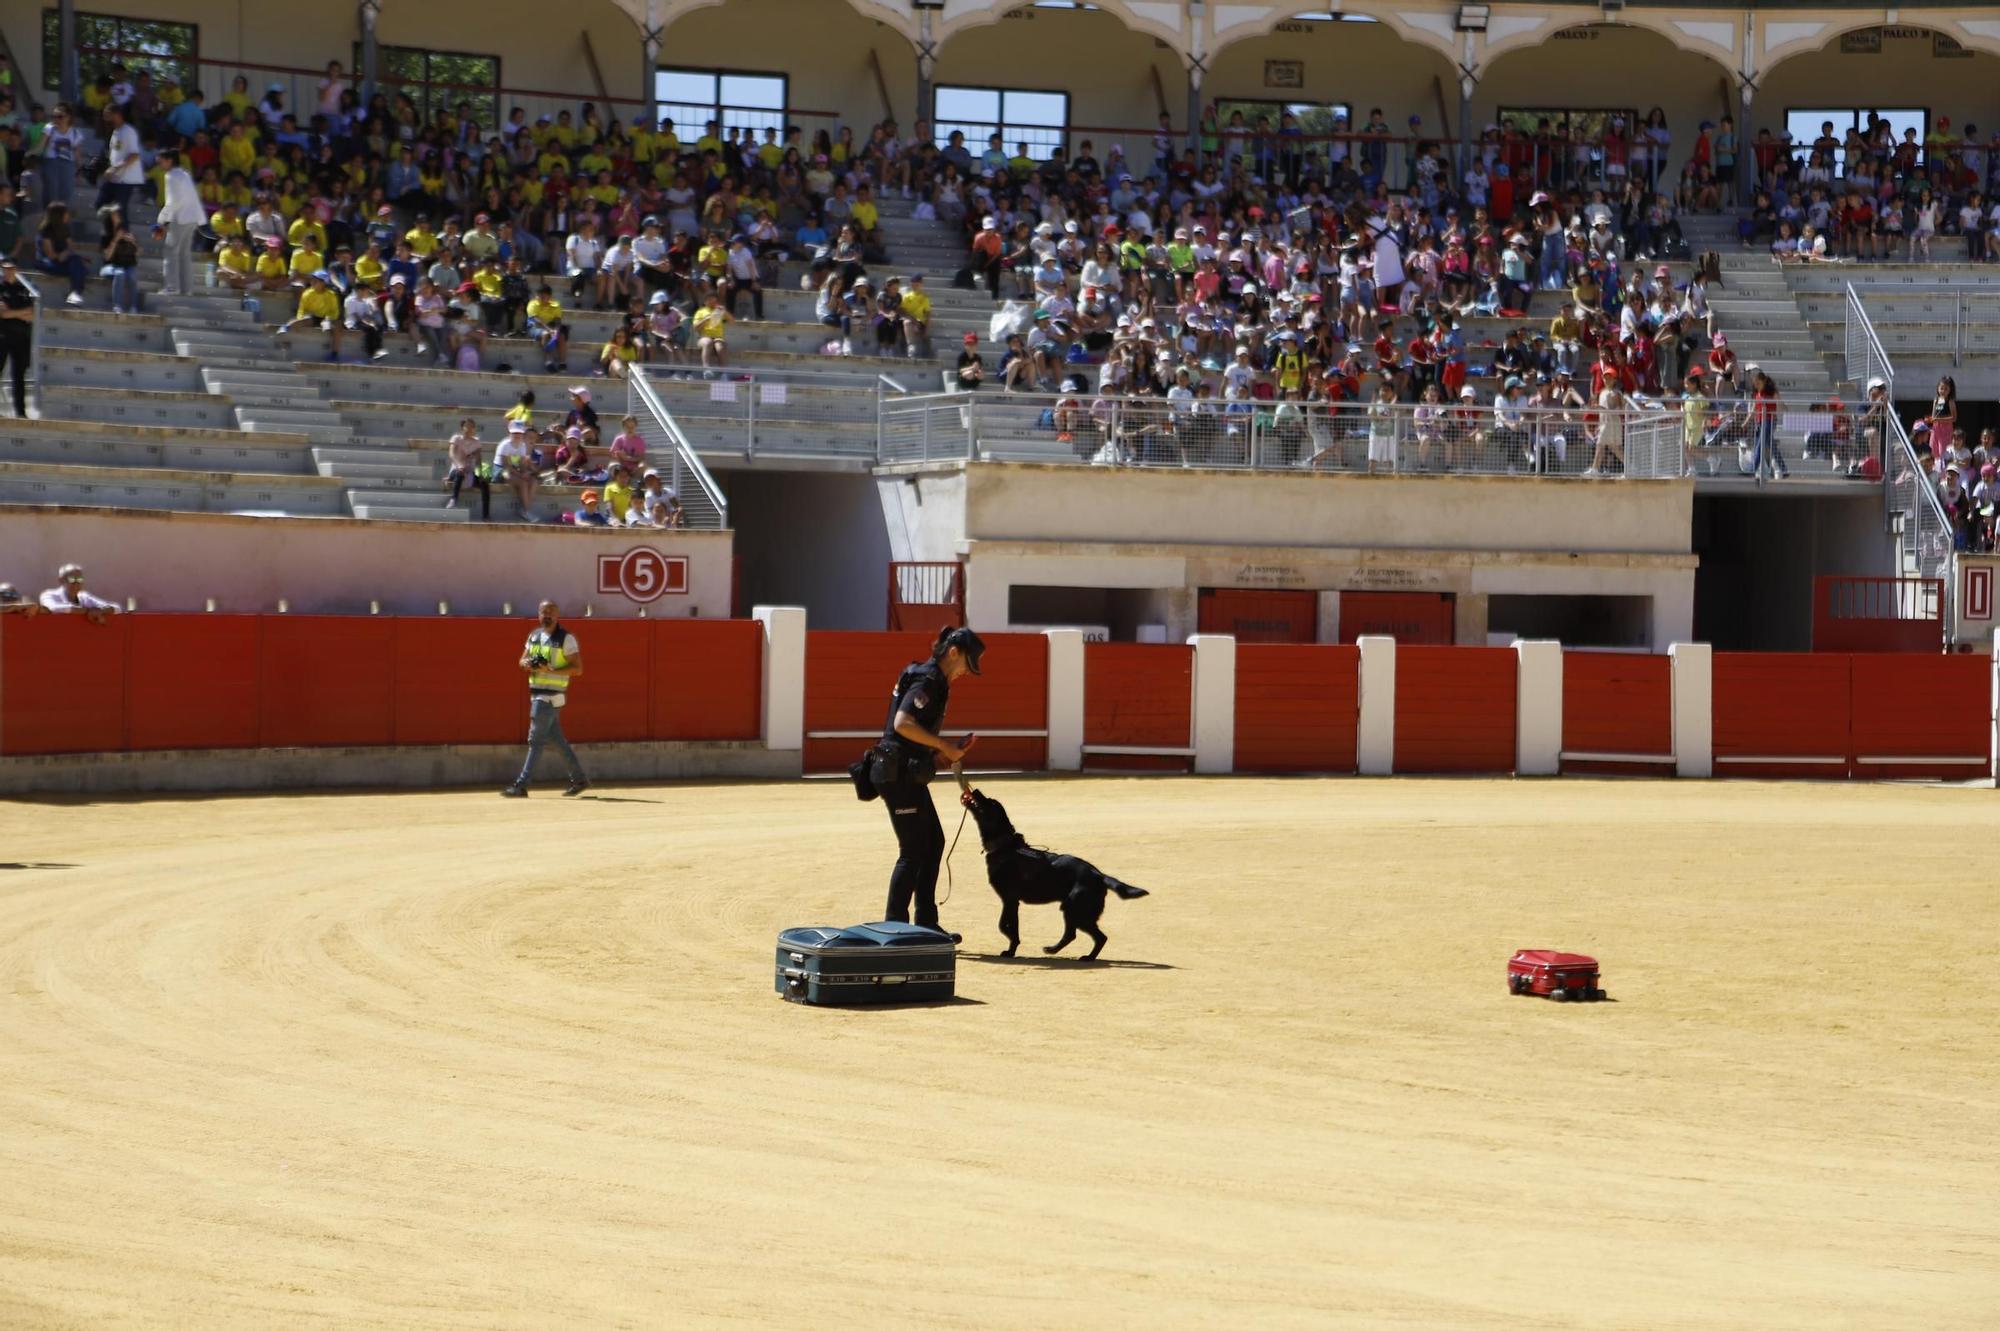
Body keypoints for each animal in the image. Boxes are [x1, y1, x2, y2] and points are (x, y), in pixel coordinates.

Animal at [960, 783, 1152, 959]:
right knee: (1084, 936)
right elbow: (1009, 926)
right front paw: (1012, 949)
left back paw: (1070, 953)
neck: (1005, 846)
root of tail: (1099, 875)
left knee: (1092, 936)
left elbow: (1004, 925)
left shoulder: (1010, 900)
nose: (975, 789)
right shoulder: (1012, 902)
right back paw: (1072, 953)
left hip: (1076, 910)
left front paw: (1010, 949)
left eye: (990, 802)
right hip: (1074, 910)